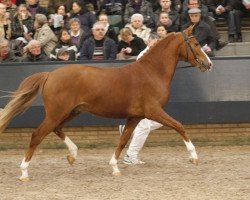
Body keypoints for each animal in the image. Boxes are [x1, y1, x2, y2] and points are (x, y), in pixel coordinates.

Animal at [0, 25, 213, 180]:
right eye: (195, 43)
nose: (208, 64)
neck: (152, 72)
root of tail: (49, 74)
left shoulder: (135, 117)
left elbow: (123, 140)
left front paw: (115, 168)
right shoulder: (153, 111)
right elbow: (179, 126)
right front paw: (194, 157)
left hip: (71, 112)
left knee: (56, 129)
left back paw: (72, 155)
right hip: (57, 113)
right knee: (37, 135)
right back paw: (24, 172)